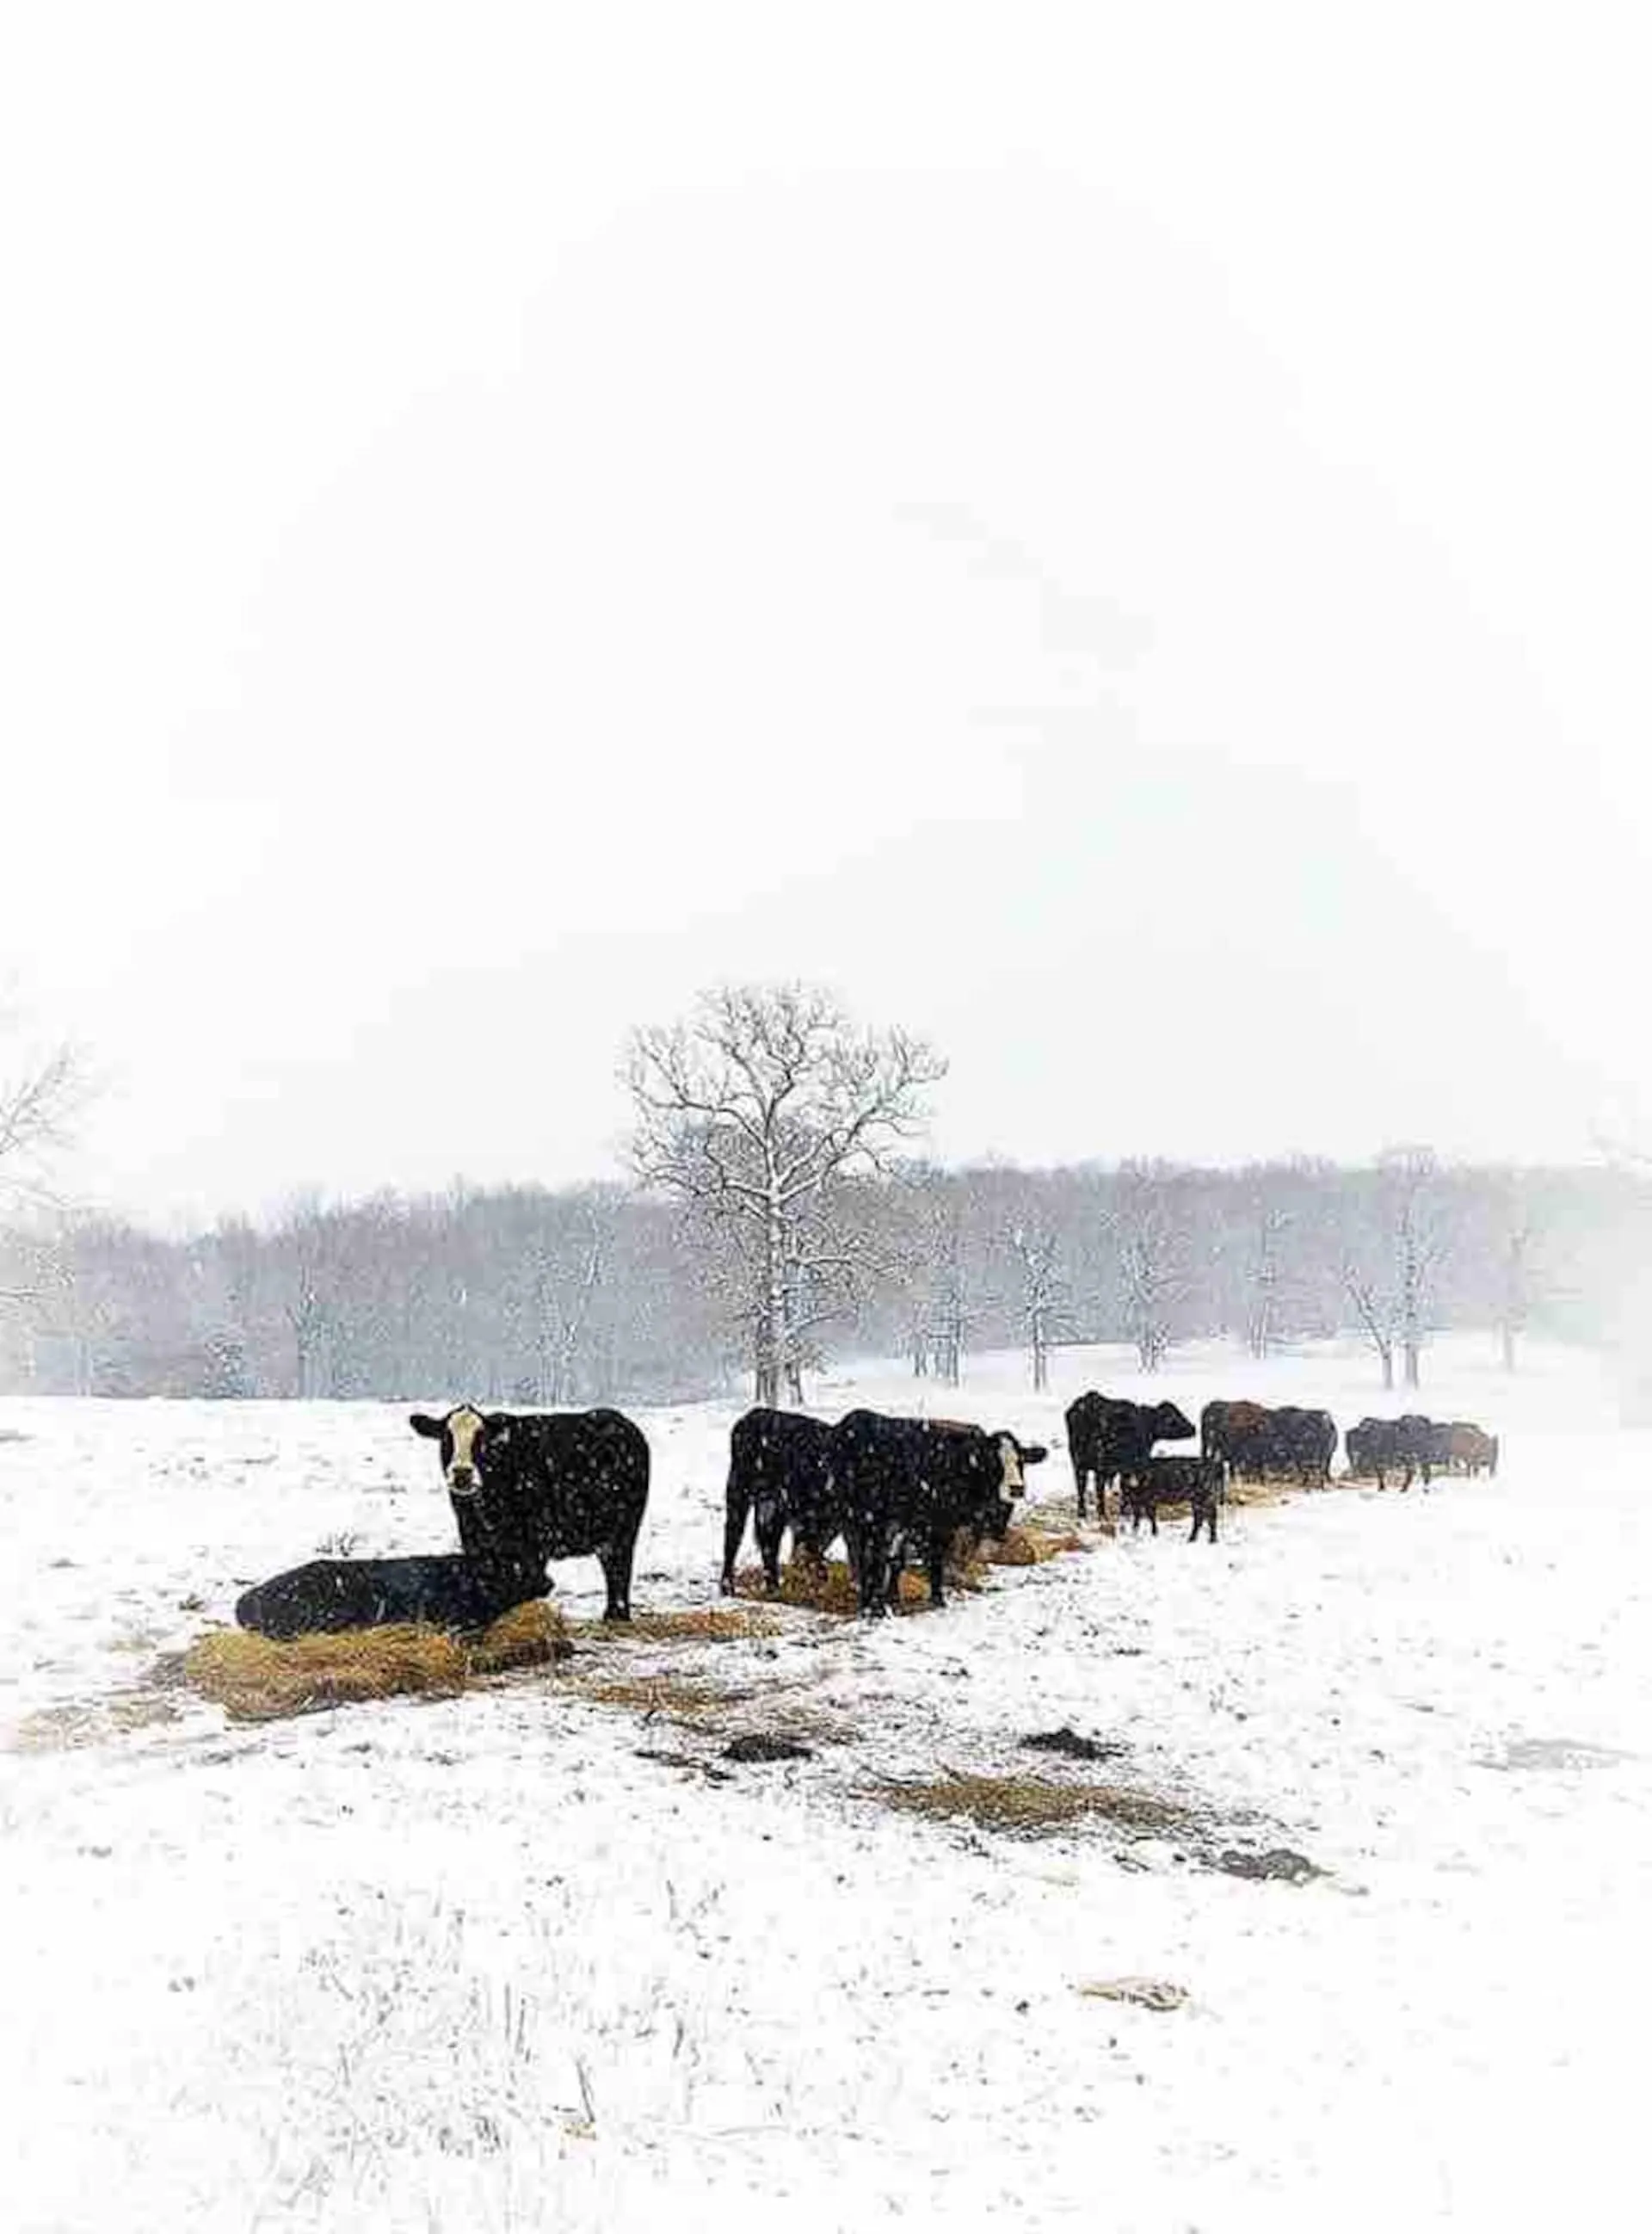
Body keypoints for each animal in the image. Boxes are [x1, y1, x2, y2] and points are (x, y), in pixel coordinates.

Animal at [409, 1403, 649, 1621]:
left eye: (482, 1439)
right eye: (446, 1438)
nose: (462, 1473)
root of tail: (618, 1419)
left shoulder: (536, 1539)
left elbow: (530, 1580)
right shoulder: (474, 1538)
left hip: (623, 1527)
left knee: (618, 1568)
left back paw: (617, 1615)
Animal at [719, 1408, 841, 1595]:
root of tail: (751, 1416)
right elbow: (808, 1549)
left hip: (770, 1504)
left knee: (768, 1542)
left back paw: (774, 1587)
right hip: (738, 1492)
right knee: (733, 1537)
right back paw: (728, 1587)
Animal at [828, 1410, 1048, 1616]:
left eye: (1020, 1461)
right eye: (993, 1461)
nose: (1016, 1488)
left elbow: (899, 1560)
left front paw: (894, 1597)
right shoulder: (935, 1524)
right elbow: (933, 1559)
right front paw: (937, 1599)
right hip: (867, 1521)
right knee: (868, 1559)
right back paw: (872, 1607)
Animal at [1065, 1393, 1196, 1521]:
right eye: (1172, 1418)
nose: (1193, 1428)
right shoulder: (1132, 1466)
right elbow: (1126, 1488)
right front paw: (1126, 1512)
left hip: (1079, 1464)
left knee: (1081, 1487)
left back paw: (1082, 1514)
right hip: (1099, 1465)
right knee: (1098, 1489)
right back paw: (1101, 1515)